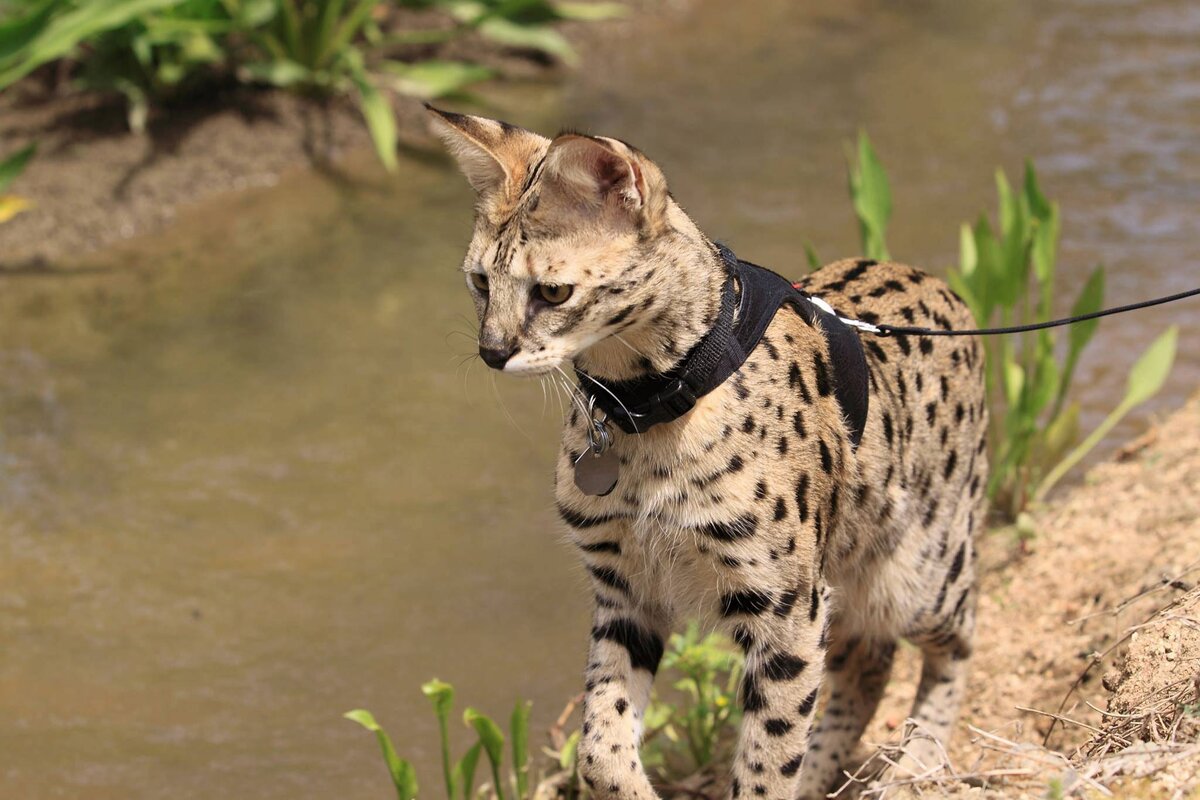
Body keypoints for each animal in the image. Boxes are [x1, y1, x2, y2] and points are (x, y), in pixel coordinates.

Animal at [429, 107, 984, 800]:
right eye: (480, 281)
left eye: (552, 293)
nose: (491, 352)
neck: (641, 410)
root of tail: (939, 283)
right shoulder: (625, 590)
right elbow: (599, 746)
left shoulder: (787, 607)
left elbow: (767, 760)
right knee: (869, 659)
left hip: (921, 571)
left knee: (957, 638)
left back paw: (919, 764)